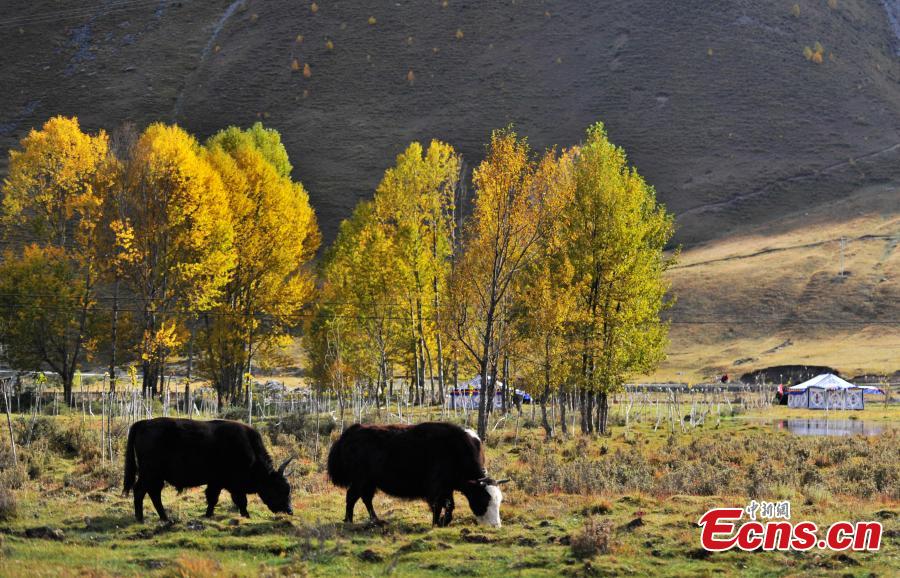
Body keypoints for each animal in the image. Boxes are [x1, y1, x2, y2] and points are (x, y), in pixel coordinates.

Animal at [123, 417, 293, 522]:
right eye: (279, 488)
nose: (289, 510)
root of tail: (143, 423)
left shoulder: (219, 483)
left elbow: (216, 499)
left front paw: (209, 514)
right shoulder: (227, 484)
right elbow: (236, 501)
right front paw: (246, 516)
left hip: (156, 476)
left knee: (153, 493)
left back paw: (164, 518)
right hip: (149, 474)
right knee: (140, 491)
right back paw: (141, 519)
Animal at [327, 422, 506, 527]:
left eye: (499, 501)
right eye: (484, 499)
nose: (496, 526)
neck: (457, 451)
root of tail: (349, 433)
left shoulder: (447, 486)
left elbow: (450, 505)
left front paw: (442, 522)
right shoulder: (437, 487)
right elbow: (439, 505)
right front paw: (436, 523)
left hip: (369, 482)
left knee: (365, 498)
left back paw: (376, 520)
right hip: (360, 480)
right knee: (352, 496)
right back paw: (349, 521)